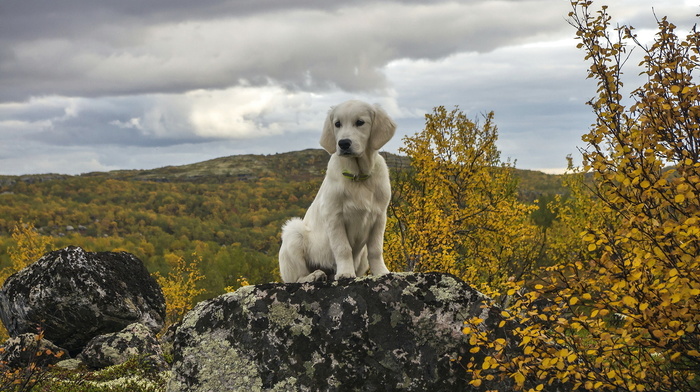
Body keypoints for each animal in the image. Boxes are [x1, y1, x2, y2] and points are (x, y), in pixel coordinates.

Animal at [280, 99, 400, 282]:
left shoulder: (380, 216)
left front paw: (381, 271)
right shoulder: (334, 216)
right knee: (297, 278)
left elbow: (376, 249)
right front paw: (345, 273)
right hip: (293, 232)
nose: (343, 143)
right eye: (337, 124)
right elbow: (343, 248)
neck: (358, 176)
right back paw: (314, 275)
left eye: (360, 122)